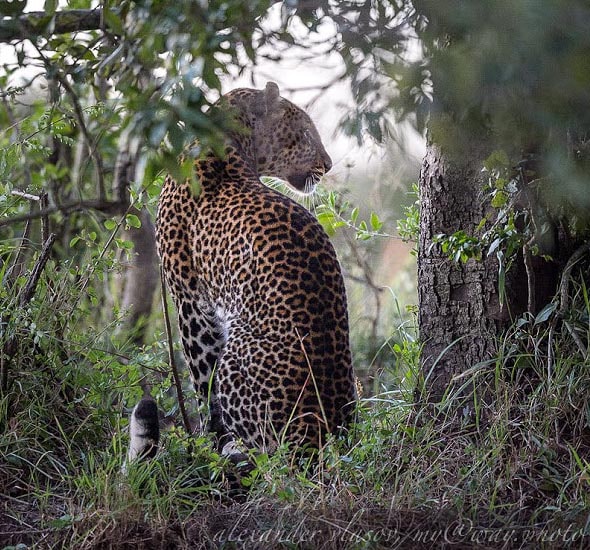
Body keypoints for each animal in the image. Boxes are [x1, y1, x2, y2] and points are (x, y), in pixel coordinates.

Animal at [130, 80, 358, 464]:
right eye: (305, 133)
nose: (327, 165)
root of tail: (319, 432)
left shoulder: (190, 302)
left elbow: (202, 380)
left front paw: (211, 440)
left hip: (237, 353)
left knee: (267, 450)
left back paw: (233, 447)